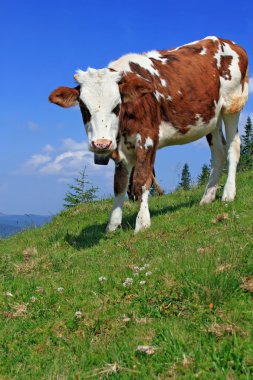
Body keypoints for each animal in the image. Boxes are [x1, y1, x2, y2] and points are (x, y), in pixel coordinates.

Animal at [48, 38, 248, 233]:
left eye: (116, 106)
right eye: (83, 108)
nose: (101, 144)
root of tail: (228, 42)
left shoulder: (148, 139)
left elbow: (142, 179)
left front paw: (142, 222)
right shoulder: (121, 148)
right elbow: (119, 184)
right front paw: (112, 225)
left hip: (232, 104)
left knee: (233, 148)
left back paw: (228, 193)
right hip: (212, 119)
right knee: (218, 153)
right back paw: (207, 197)